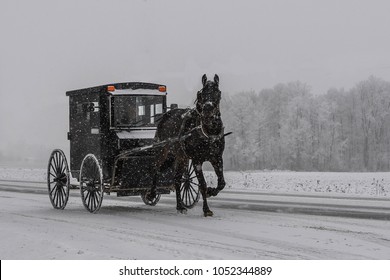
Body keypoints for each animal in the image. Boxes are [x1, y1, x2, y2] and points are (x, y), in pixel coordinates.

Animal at [152, 74, 225, 217]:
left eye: (217, 93)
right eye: (201, 93)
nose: (208, 111)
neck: (208, 132)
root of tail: (165, 116)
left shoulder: (217, 157)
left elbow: (222, 183)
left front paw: (212, 191)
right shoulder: (197, 160)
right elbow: (202, 184)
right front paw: (206, 209)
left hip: (182, 157)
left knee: (177, 179)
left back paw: (180, 206)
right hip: (163, 152)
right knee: (155, 168)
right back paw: (151, 193)